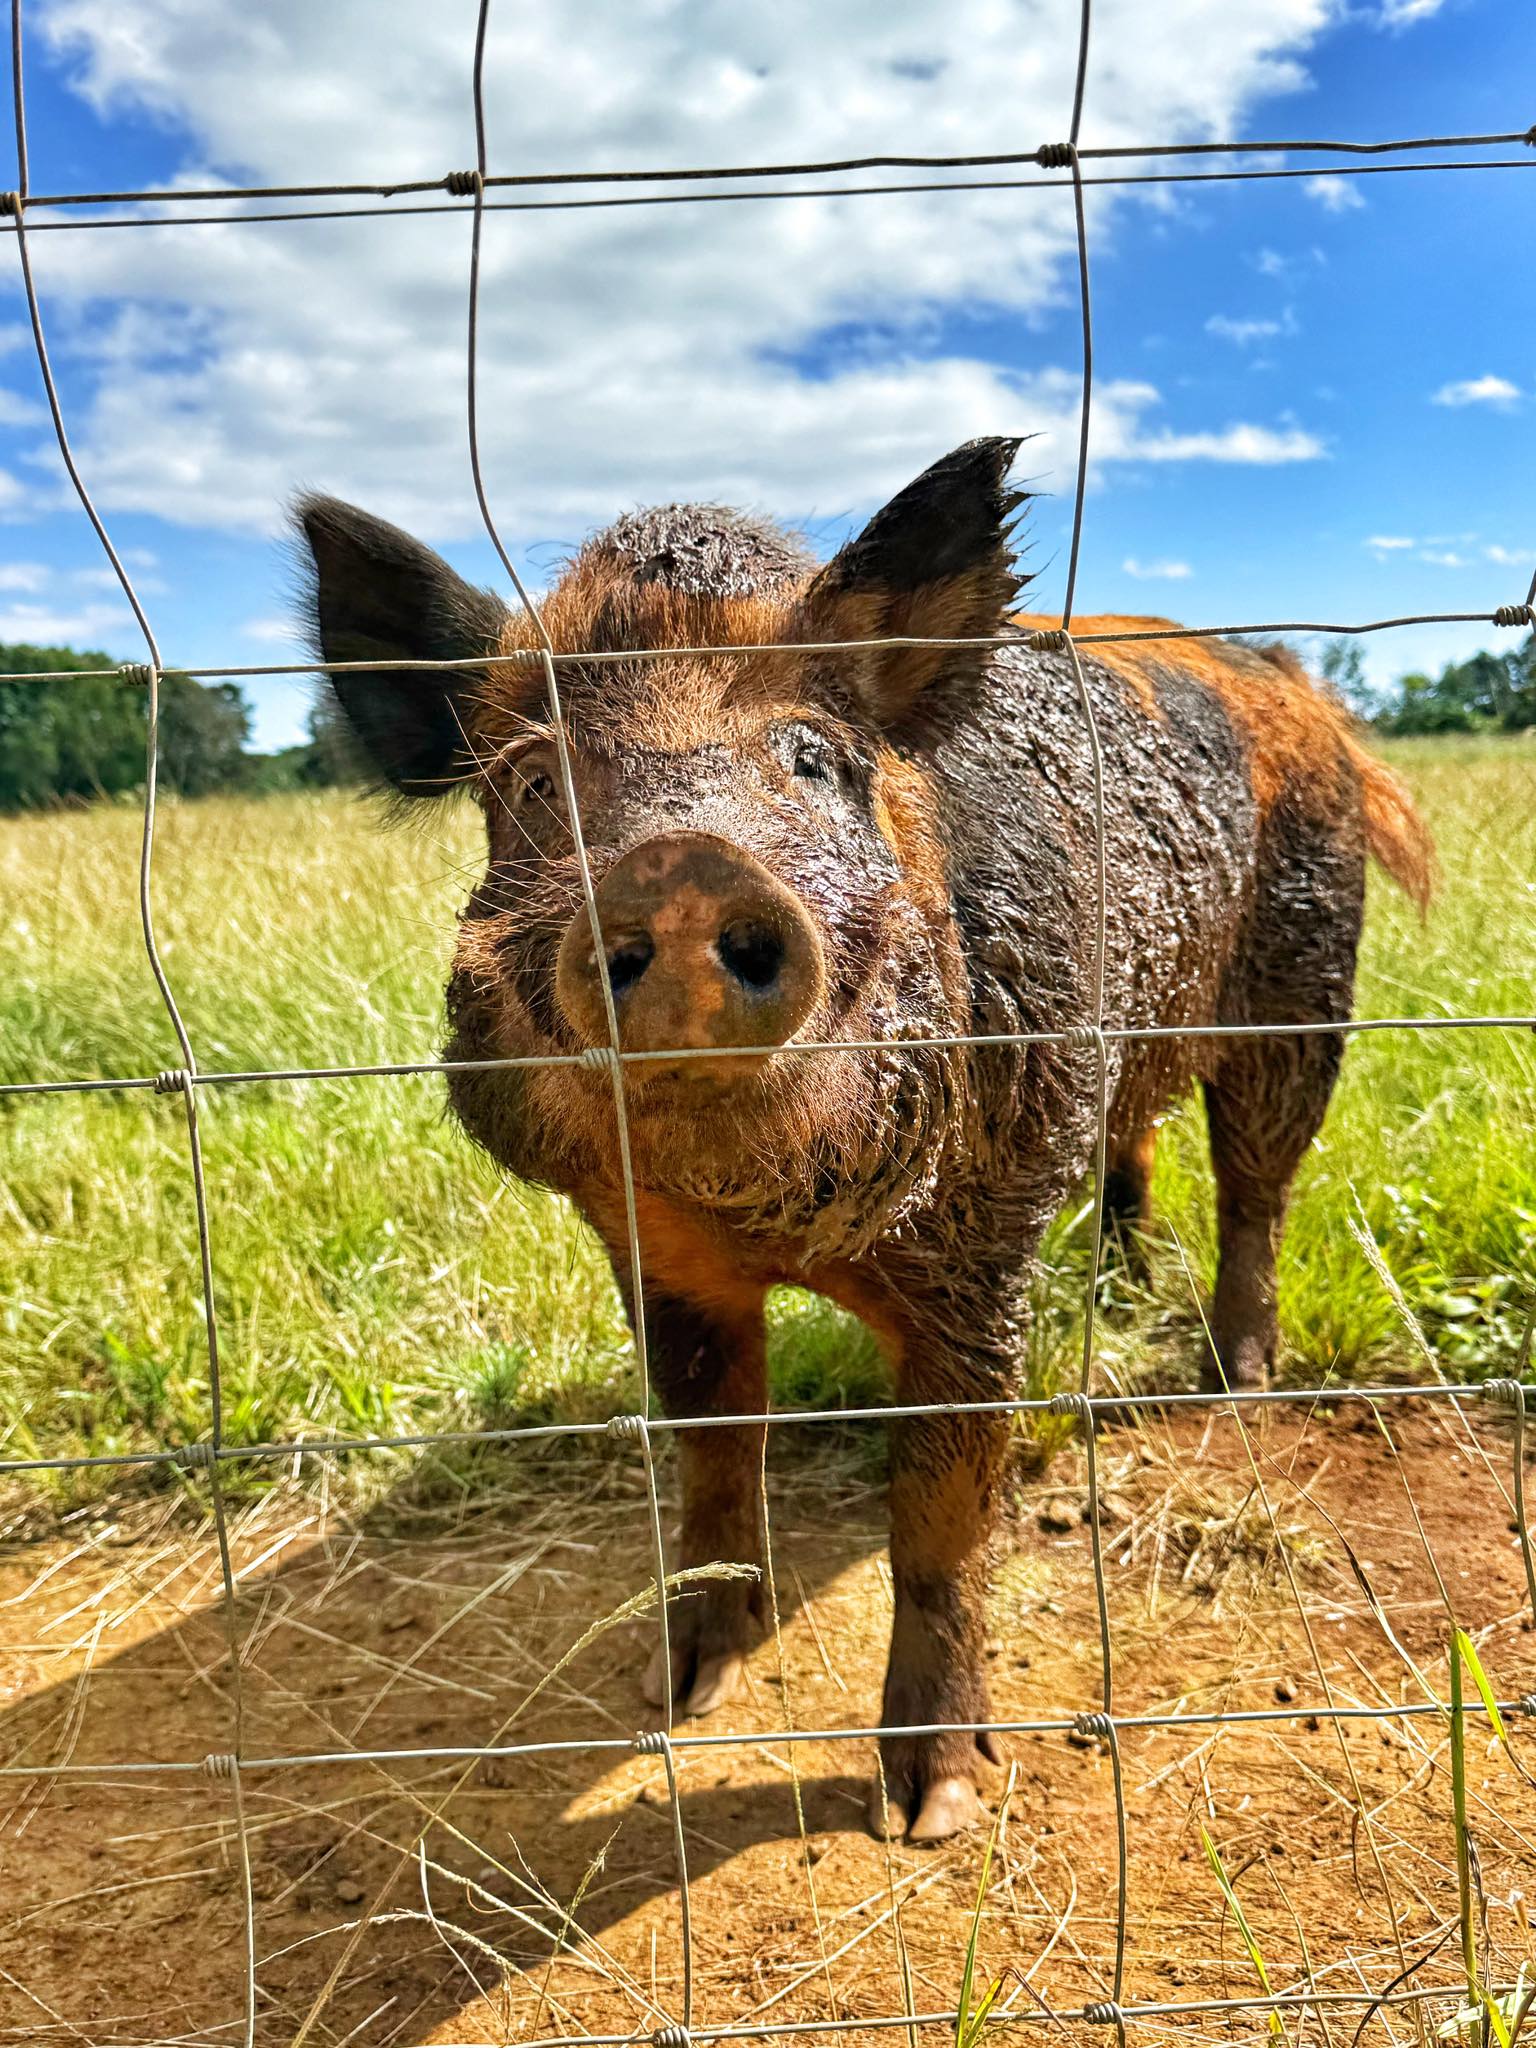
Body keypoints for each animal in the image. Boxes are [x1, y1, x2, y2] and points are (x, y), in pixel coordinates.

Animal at [297, 439, 1432, 1842]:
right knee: (1138, 1147)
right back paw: (1122, 1286)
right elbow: (712, 1453)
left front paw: (929, 1809)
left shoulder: (983, 1250)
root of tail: (1290, 680)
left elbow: (939, 1514)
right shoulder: (656, 1255)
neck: (774, 1221)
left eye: (813, 757)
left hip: (1307, 980)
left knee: (1257, 1178)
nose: (678, 866)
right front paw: (685, 1685)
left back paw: (1236, 1375)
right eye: (529, 779)